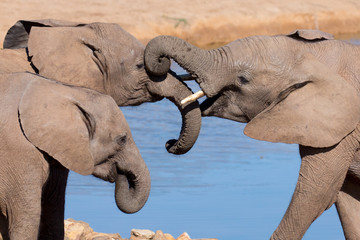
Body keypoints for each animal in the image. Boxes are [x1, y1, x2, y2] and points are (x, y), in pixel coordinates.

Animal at [143, 30, 360, 240]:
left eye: (243, 79)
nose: (169, 142)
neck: (317, 56)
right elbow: (347, 198)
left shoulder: (342, 128)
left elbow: (316, 195)